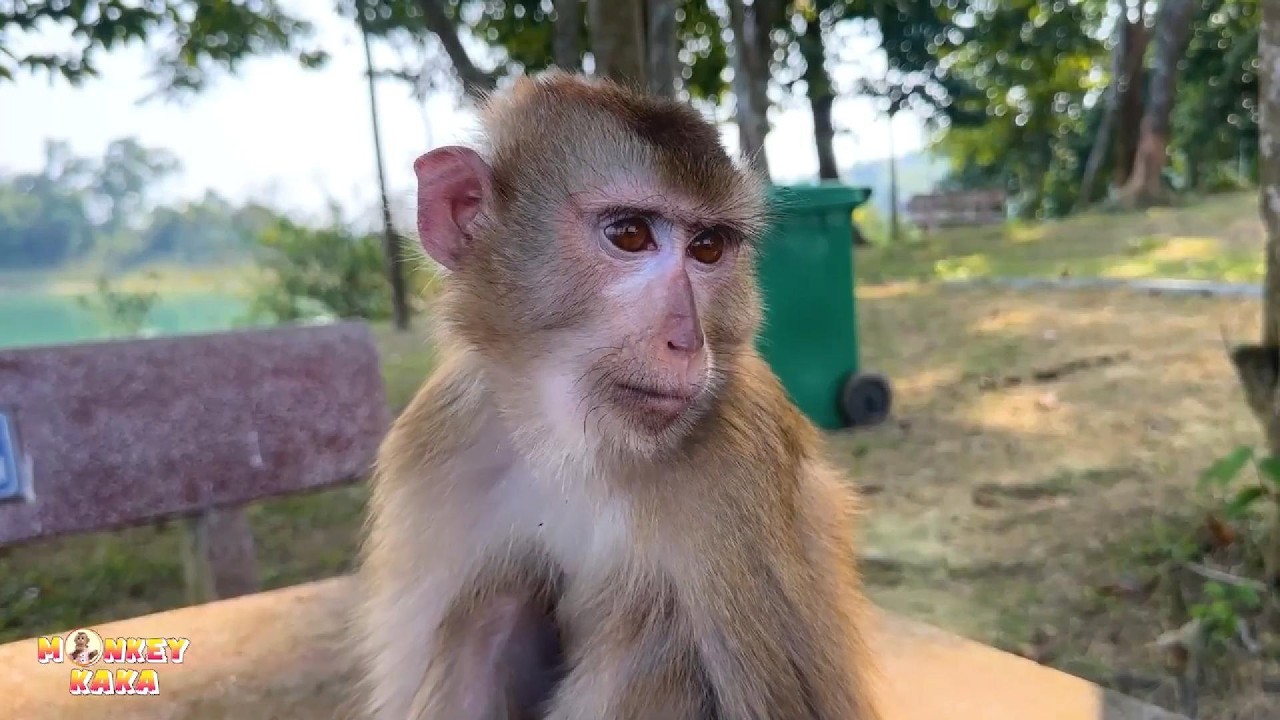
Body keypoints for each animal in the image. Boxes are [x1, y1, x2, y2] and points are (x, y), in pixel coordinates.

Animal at [353, 71, 882, 720]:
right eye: (630, 234)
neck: (575, 446)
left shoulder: (740, 462)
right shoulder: (436, 446)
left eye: (708, 247)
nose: (687, 340)